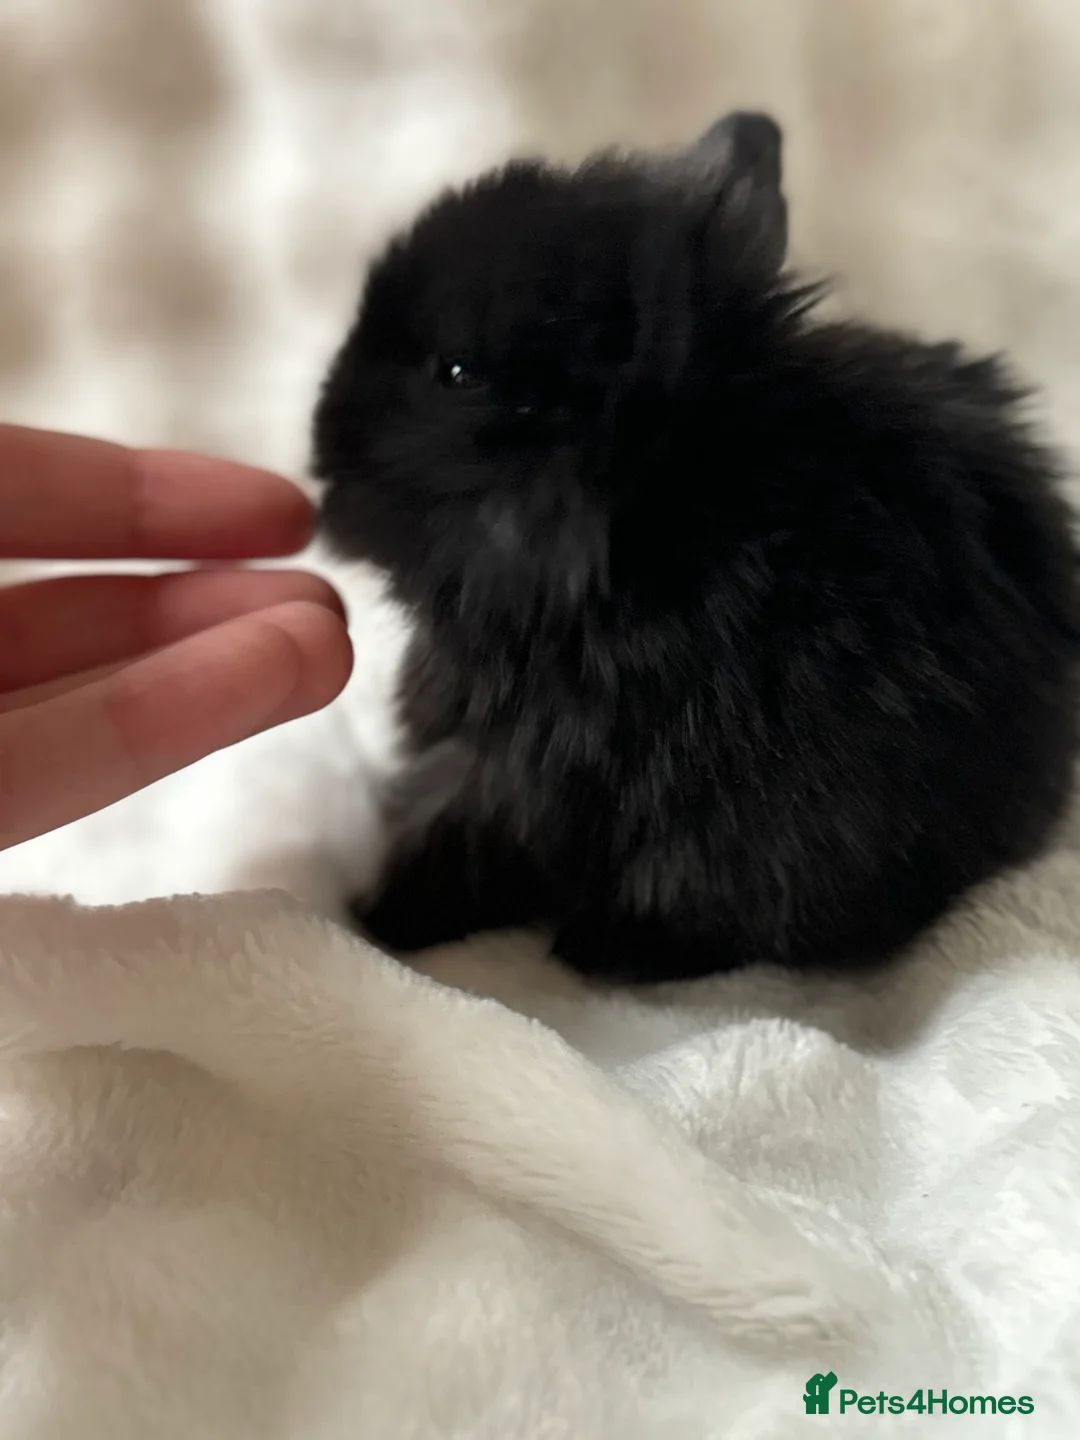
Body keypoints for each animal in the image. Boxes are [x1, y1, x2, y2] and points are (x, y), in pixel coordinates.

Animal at [312, 110, 1080, 984]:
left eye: (456, 371)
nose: (325, 442)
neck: (654, 522)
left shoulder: (521, 768)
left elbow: (464, 837)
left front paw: (383, 921)